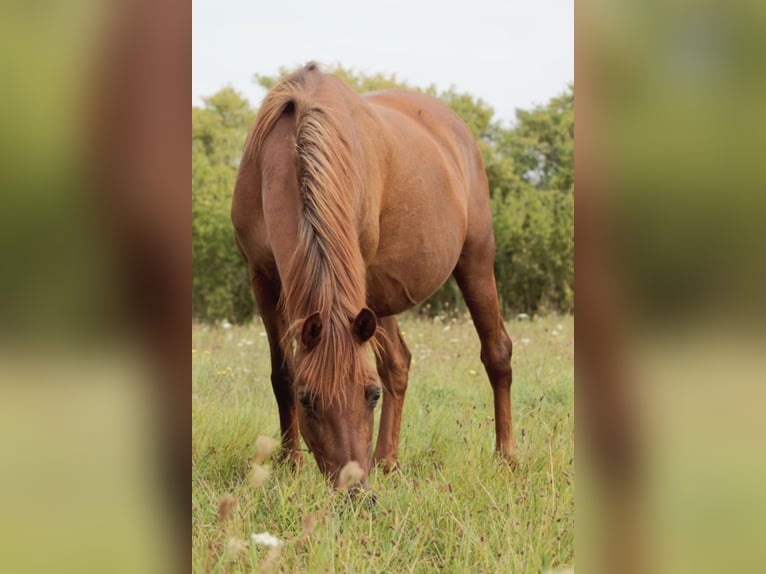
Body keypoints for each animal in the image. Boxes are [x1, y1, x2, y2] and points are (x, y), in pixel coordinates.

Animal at [231, 63, 516, 490]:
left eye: (371, 395)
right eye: (307, 399)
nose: (356, 490)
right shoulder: (263, 278)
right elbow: (281, 373)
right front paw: (289, 465)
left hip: (475, 259)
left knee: (496, 351)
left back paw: (506, 456)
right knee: (398, 364)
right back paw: (387, 461)